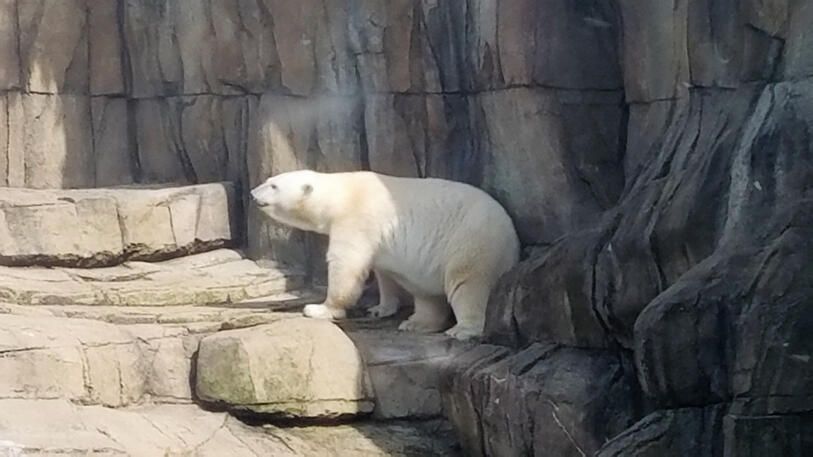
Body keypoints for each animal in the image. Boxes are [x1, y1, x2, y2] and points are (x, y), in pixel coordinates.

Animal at [250, 170, 520, 340]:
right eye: (269, 180)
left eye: (273, 186)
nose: (253, 193)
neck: (341, 193)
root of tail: (513, 240)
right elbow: (384, 273)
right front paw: (381, 308)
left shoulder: (356, 218)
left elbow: (346, 265)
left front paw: (319, 309)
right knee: (427, 294)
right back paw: (414, 323)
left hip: (473, 241)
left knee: (468, 283)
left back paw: (461, 330)